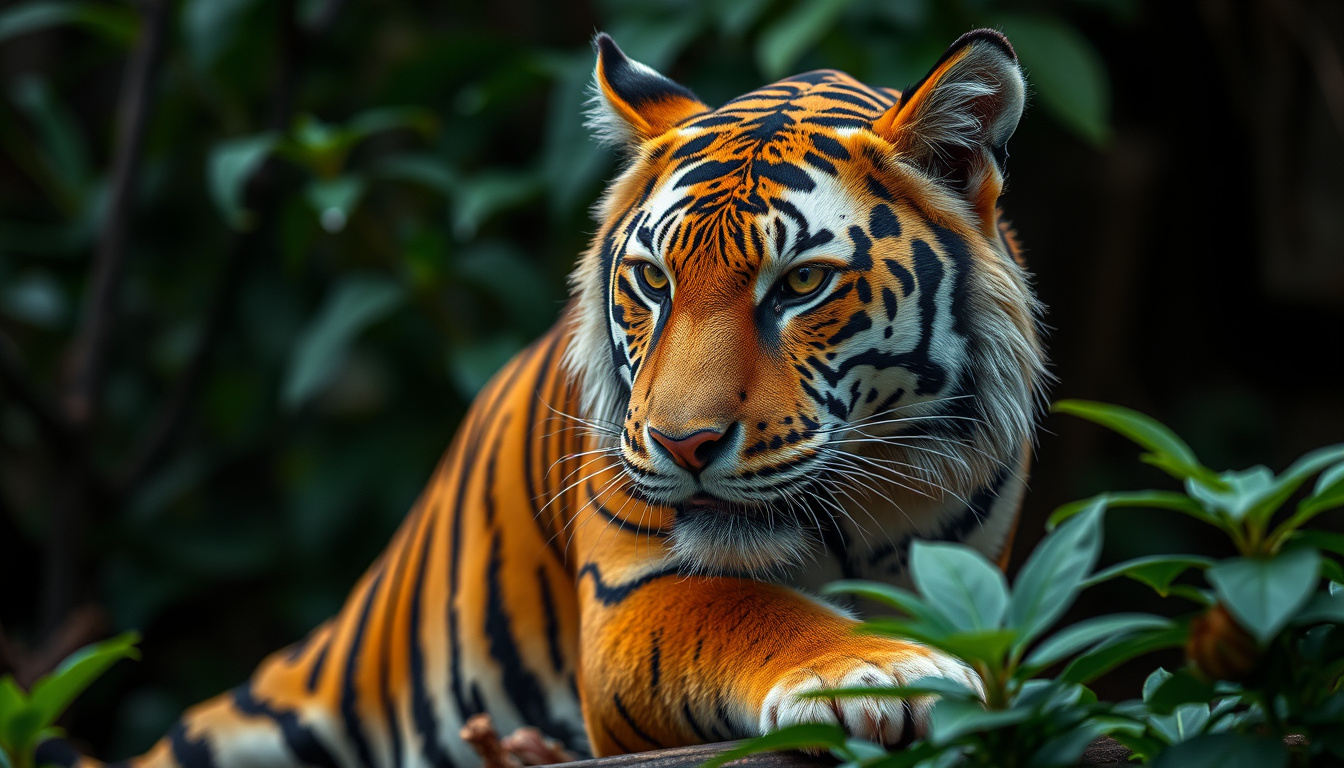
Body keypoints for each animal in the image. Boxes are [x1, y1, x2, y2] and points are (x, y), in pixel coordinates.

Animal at [42, 27, 1045, 768]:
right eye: (652, 282)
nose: (683, 444)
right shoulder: (633, 595)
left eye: (800, 285)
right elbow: (755, 610)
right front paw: (883, 673)